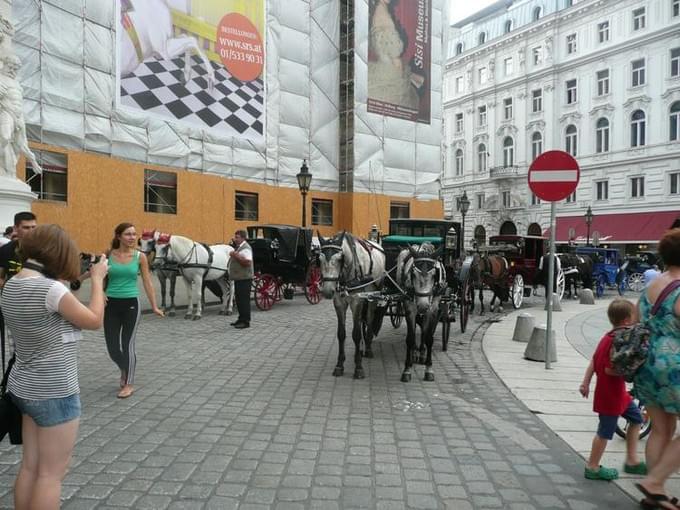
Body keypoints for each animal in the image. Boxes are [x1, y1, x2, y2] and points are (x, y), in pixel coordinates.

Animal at [318, 231, 386, 378]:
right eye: (319, 260)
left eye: (339, 259)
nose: (327, 291)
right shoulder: (339, 303)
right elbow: (341, 334)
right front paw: (339, 365)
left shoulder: (356, 301)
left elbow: (356, 334)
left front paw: (358, 367)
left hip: (372, 298)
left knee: (370, 319)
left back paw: (368, 348)